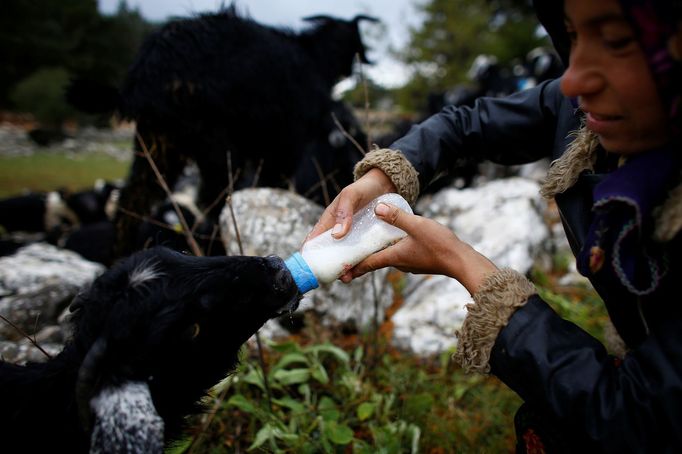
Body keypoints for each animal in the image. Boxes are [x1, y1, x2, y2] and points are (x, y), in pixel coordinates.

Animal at [67, 6, 374, 258]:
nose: (356, 66)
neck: (313, 57)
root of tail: (146, 77)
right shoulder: (287, 141)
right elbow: (274, 180)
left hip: (156, 144)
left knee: (131, 202)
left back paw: (118, 259)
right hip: (215, 143)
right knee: (213, 204)